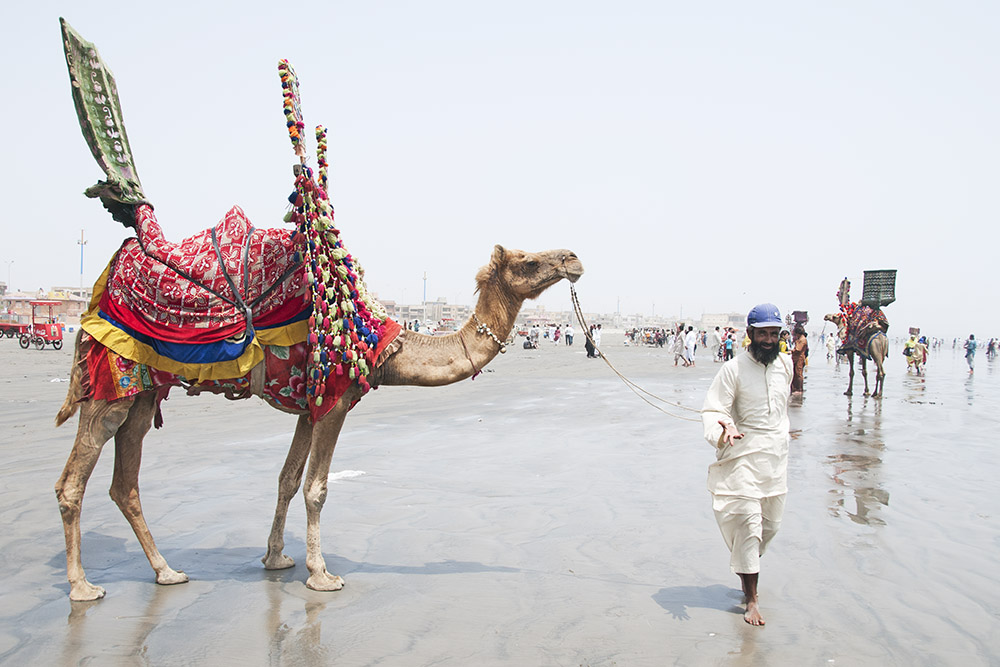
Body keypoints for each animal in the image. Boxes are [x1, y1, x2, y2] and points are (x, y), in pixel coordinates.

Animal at [54, 245, 583, 601]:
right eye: (529, 262)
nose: (573, 258)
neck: (384, 345)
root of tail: (90, 315)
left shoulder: (307, 409)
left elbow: (287, 479)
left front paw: (275, 558)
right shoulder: (334, 402)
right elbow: (316, 488)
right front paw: (320, 573)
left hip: (142, 394)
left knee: (125, 482)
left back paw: (166, 571)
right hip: (111, 387)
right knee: (72, 482)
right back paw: (82, 586)